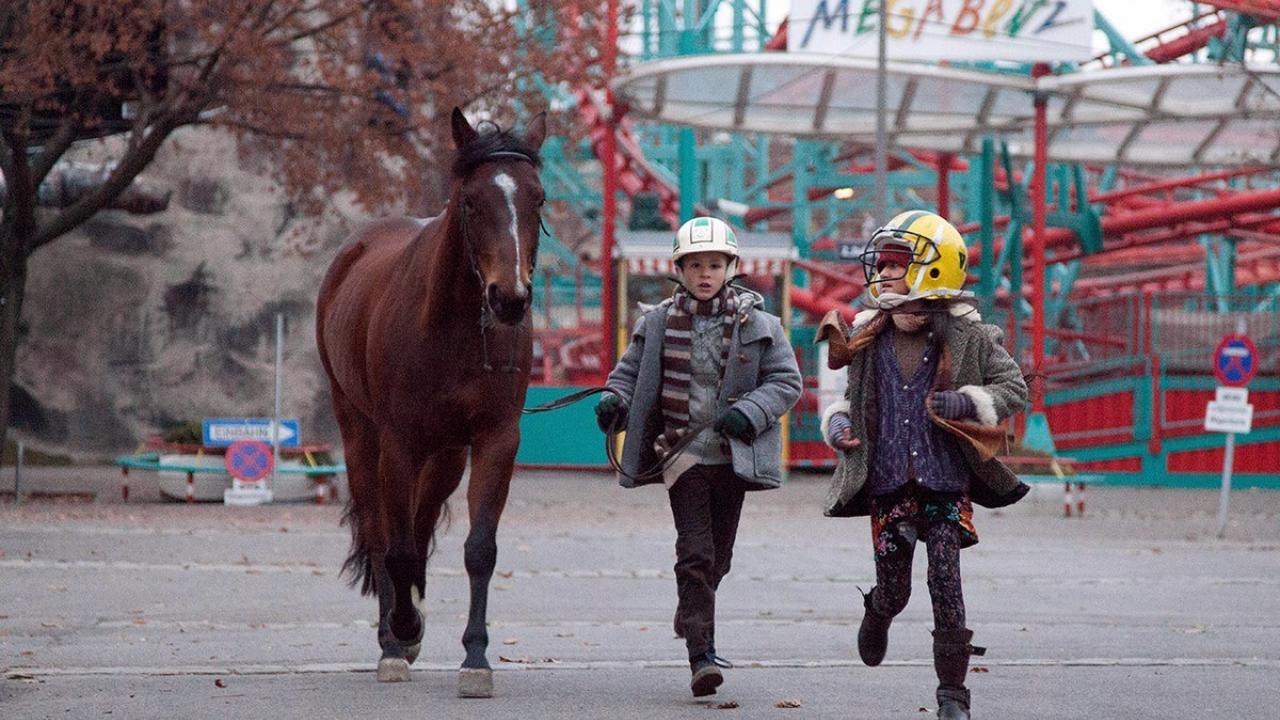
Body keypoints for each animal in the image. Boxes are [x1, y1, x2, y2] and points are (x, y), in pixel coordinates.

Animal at [317, 107, 547, 696]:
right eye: (471, 201)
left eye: (537, 198)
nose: (509, 299)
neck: (454, 327)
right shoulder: (399, 443)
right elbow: (393, 546)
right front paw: (398, 635)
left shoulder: (494, 440)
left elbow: (479, 549)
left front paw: (476, 659)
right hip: (361, 437)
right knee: (382, 530)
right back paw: (393, 635)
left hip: (445, 455)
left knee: (419, 526)